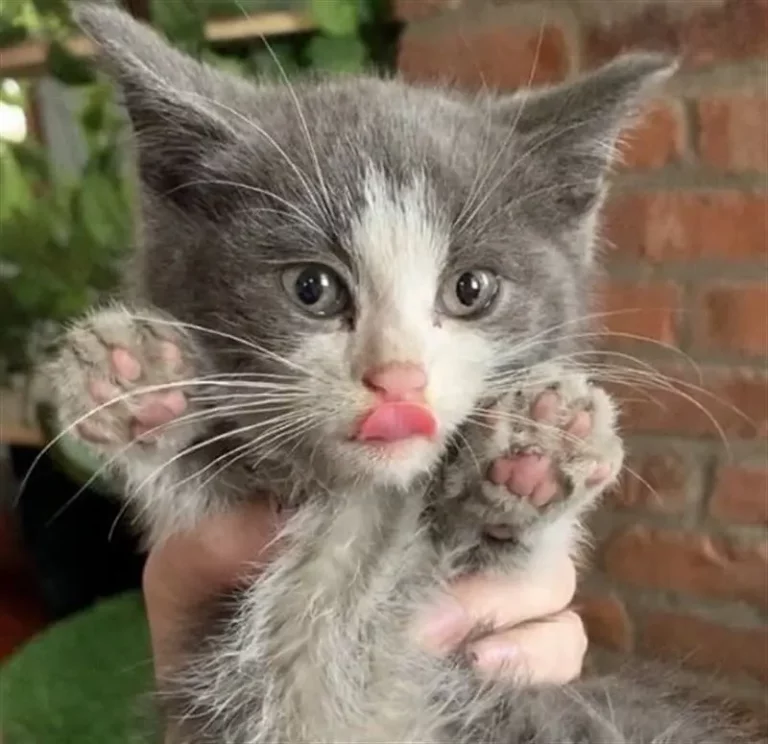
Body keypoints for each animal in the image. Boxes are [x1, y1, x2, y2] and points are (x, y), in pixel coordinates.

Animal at [48, 5, 756, 744]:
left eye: (471, 289)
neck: (368, 501)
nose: (398, 379)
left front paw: (544, 444)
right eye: (311, 288)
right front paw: (136, 379)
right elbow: (191, 484)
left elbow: (512, 554)